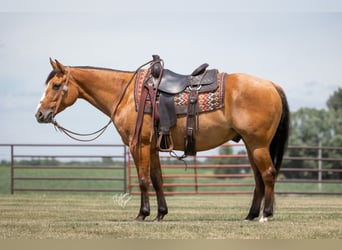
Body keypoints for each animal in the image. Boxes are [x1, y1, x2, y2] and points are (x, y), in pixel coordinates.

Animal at [35, 58, 288, 223]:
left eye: (56, 85)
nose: (40, 114)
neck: (125, 95)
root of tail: (271, 85)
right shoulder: (153, 148)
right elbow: (157, 179)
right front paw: (160, 213)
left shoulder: (139, 145)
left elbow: (143, 179)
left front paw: (142, 214)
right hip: (250, 145)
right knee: (258, 178)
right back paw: (251, 215)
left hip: (258, 144)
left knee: (268, 174)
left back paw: (266, 215)